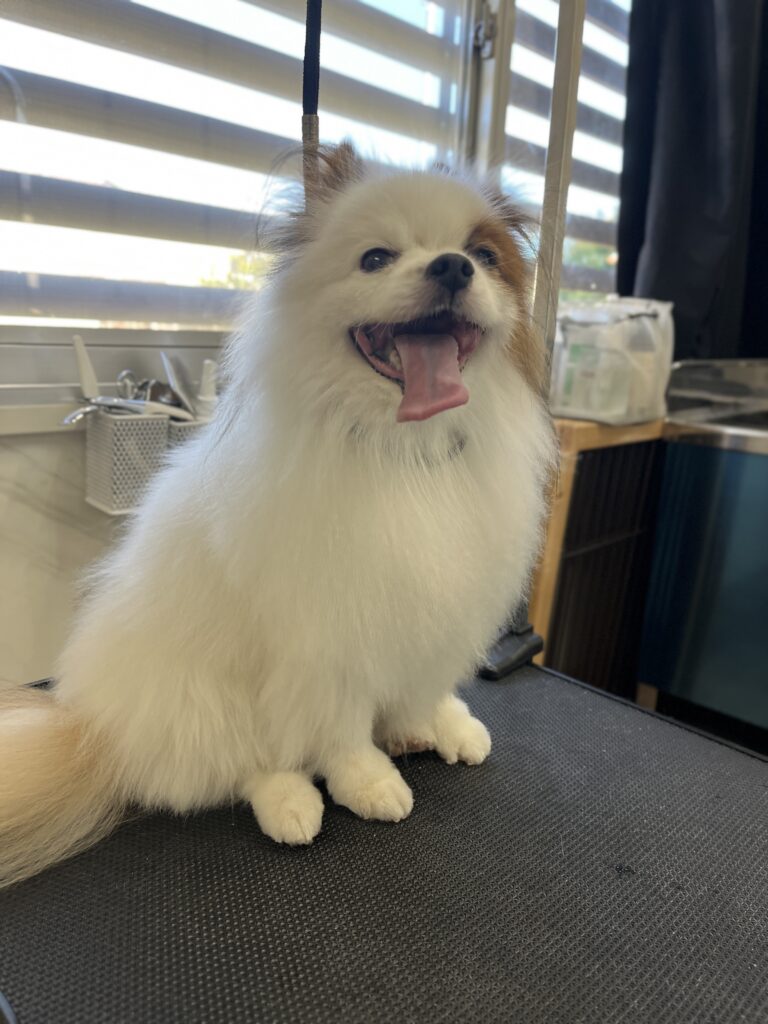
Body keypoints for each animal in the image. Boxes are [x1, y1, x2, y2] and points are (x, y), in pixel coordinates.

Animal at [0, 144, 555, 886]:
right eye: (375, 258)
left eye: (484, 256)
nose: (451, 266)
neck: (402, 449)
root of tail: (94, 733)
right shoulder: (327, 633)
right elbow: (341, 727)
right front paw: (367, 780)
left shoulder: (440, 601)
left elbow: (424, 681)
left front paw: (440, 721)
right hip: (204, 697)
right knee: (240, 765)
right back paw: (293, 804)